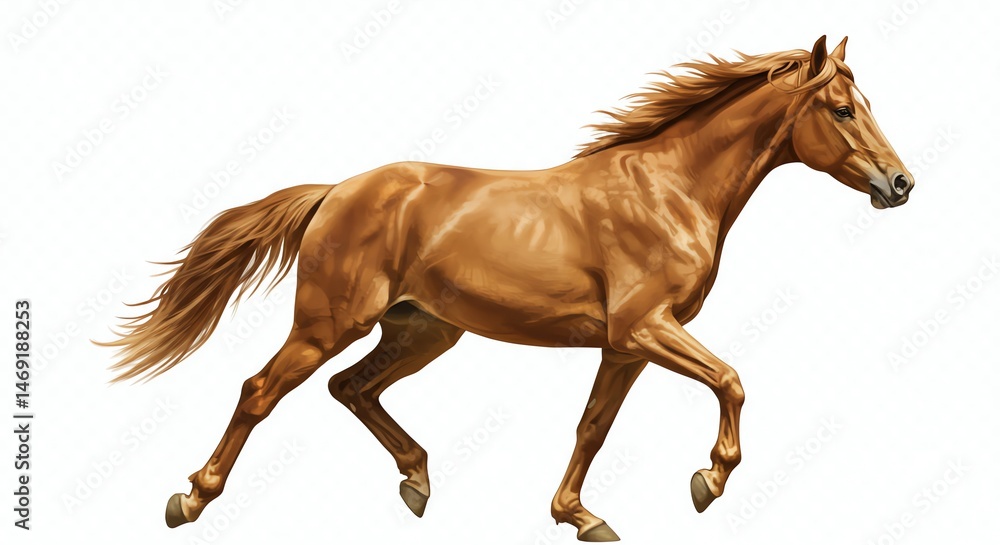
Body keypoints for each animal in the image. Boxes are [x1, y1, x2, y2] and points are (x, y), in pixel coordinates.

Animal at [99, 35, 914, 541]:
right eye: (843, 109)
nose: (900, 184)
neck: (668, 188)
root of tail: (336, 191)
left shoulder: (626, 346)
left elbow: (593, 426)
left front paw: (580, 516)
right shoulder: (646, 328)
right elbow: (732, 380)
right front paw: (707, 481)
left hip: (424, 329)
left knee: (351, 388)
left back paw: (418, 481)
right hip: (330, 323)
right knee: (261, 389)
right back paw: (190, 498)